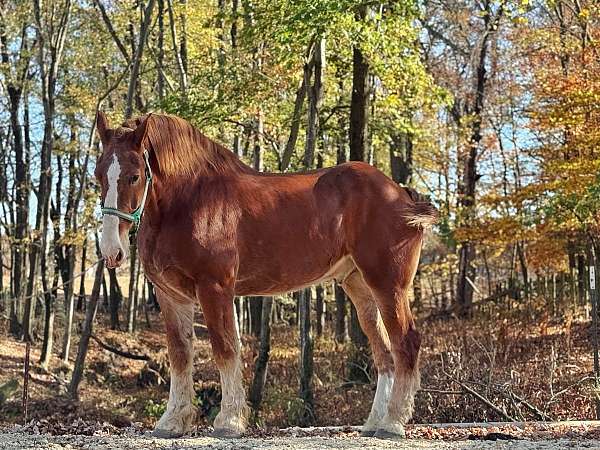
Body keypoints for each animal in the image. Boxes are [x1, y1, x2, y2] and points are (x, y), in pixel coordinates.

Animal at [96, 111, 438, 440]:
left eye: (135, 175)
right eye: (98, 175)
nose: (112, 251)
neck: (189, 201)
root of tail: (400, 193)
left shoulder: (214, 288)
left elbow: (225, 349)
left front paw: (229, 422)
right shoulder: (170, 296)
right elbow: (180, 355)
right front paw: (172, 421)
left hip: (388, 285)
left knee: (406, 342)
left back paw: (392, 424)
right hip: (359, 286)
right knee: (384, 353)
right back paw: (373, 422)